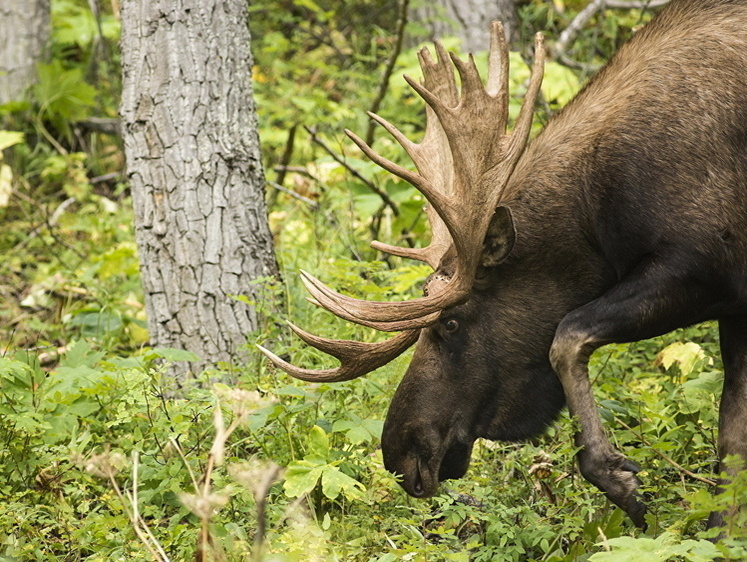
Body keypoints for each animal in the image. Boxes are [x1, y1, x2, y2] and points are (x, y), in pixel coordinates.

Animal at [260, 0, 747, 524]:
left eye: (450, 322)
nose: (401, 453)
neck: (599, 212)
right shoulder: (733, 303)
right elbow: (732, 440)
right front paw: (713, 531)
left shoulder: (706, 265)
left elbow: (568, 335)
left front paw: (621, 480)